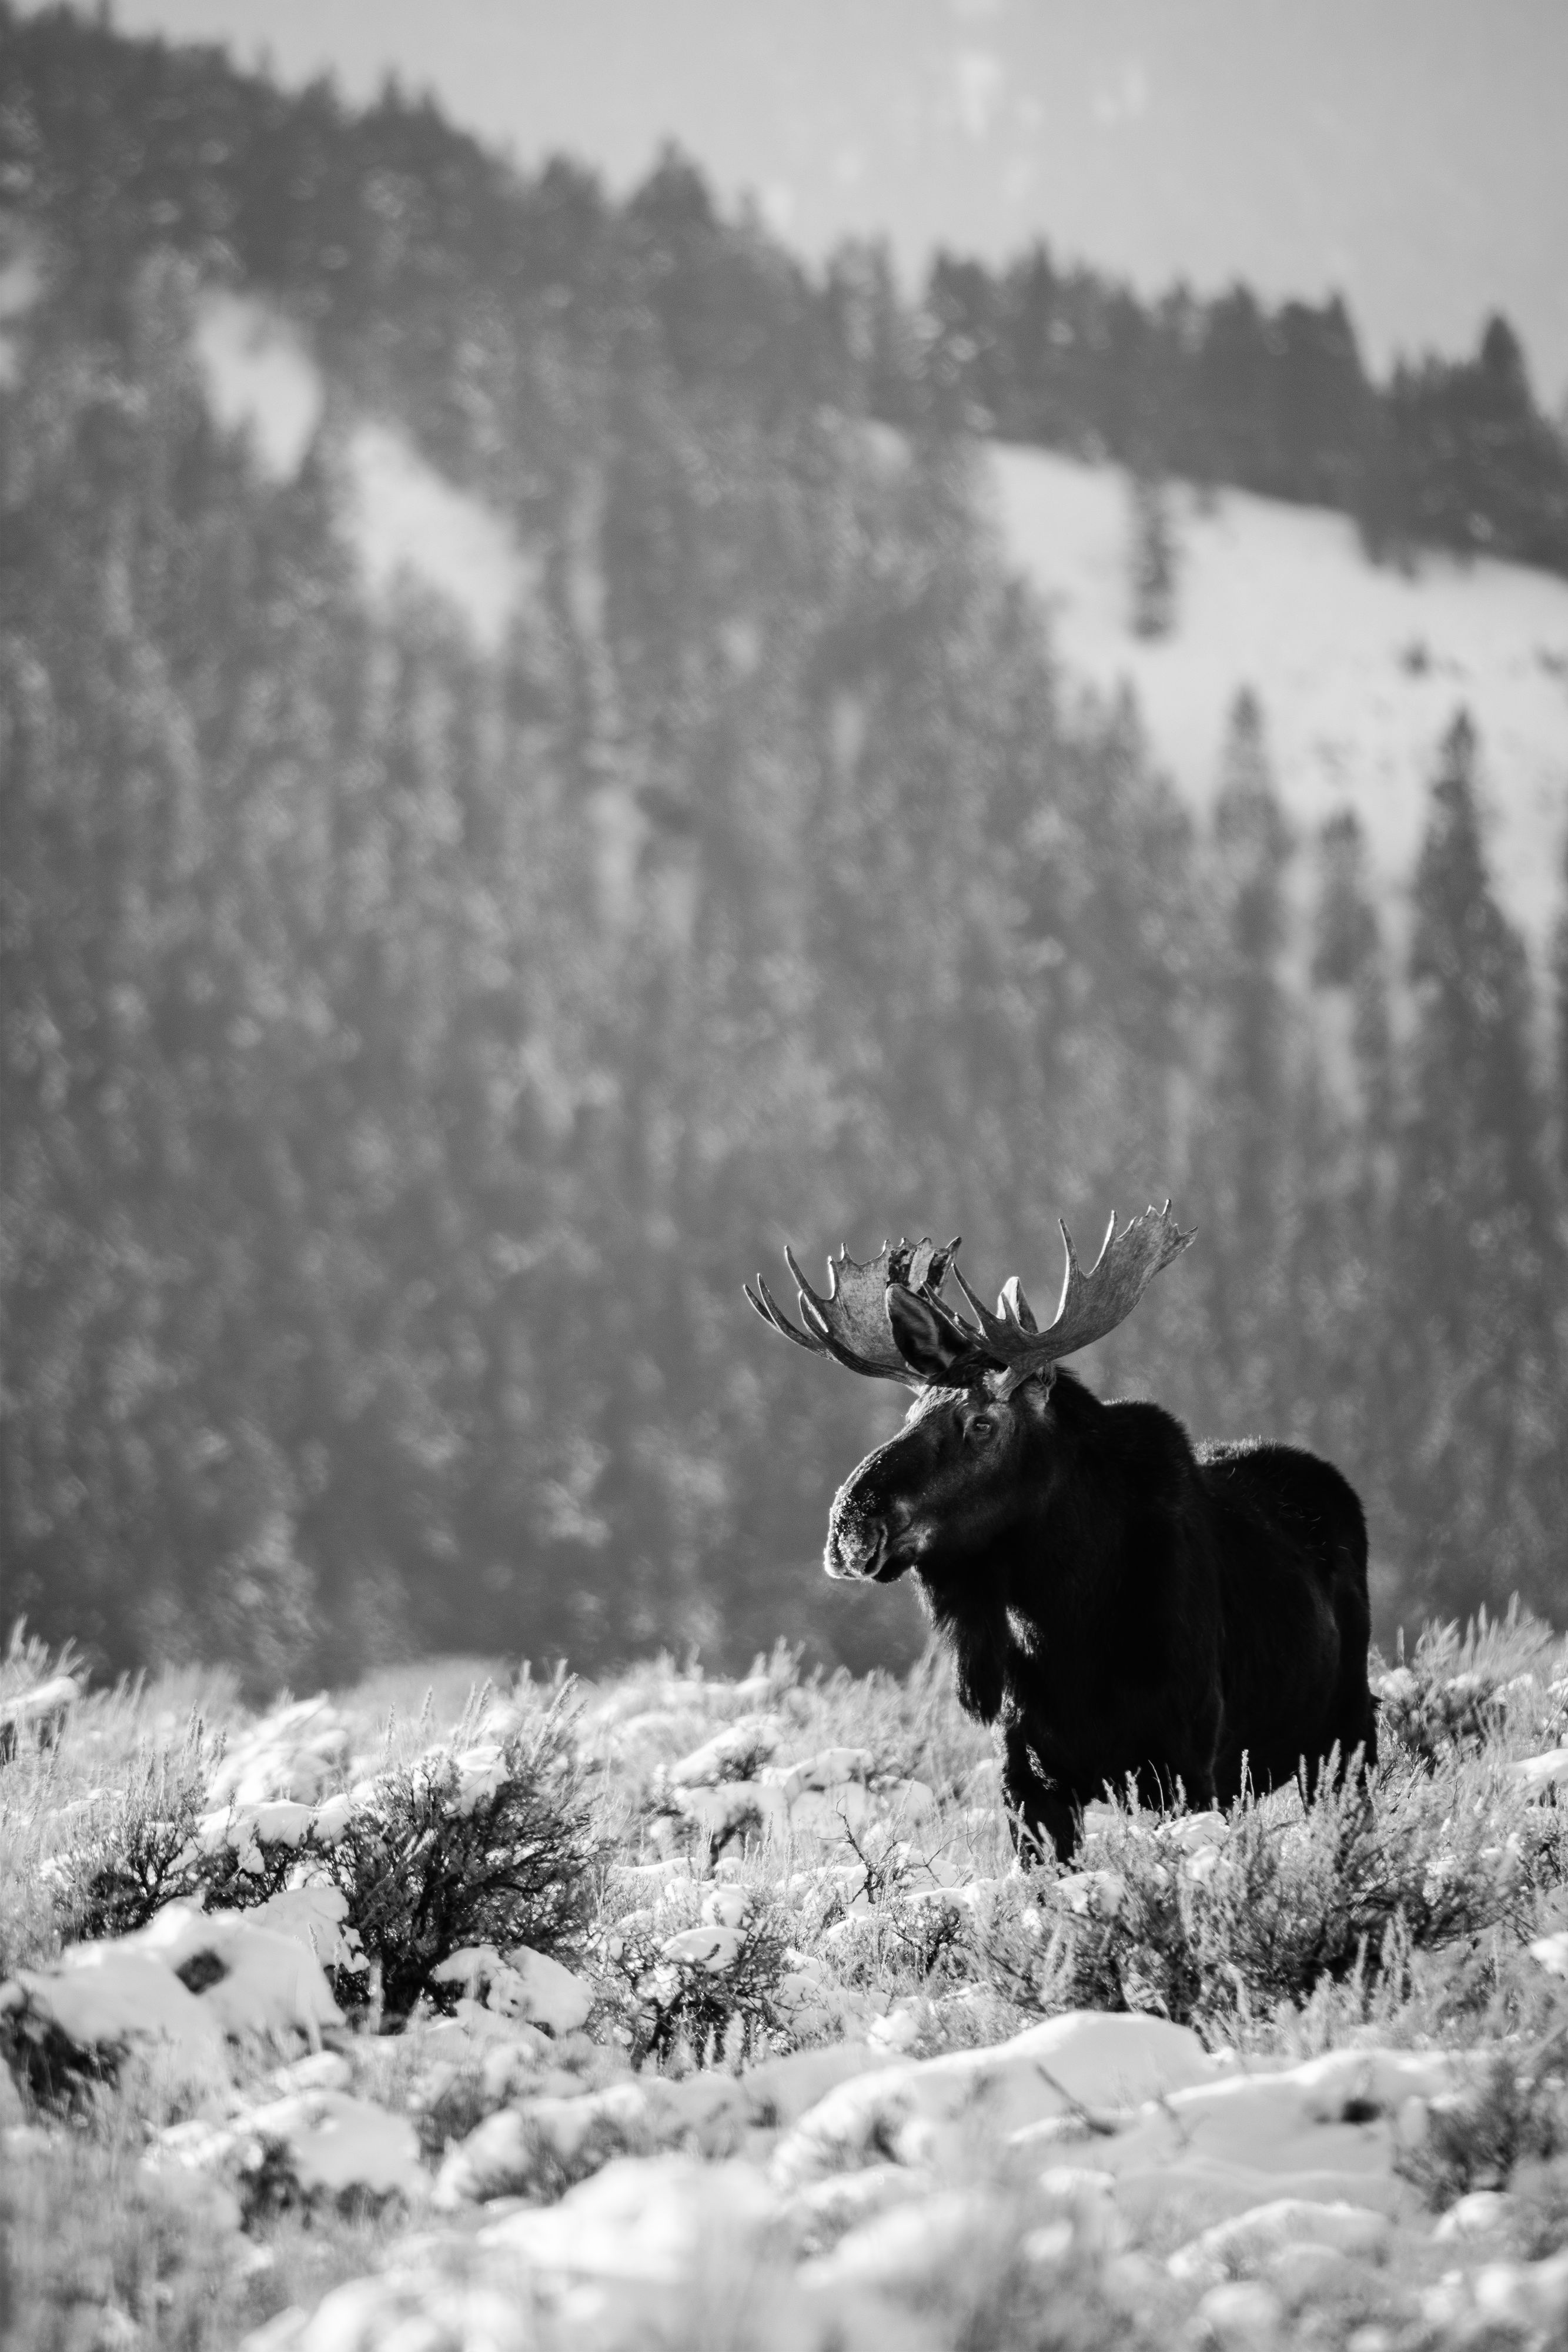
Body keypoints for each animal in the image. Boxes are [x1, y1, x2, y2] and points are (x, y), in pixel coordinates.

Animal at [747, 1205, 1376, 1862]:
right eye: (911, 1413)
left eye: (981, 1422)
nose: (849, 1525)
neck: (1067, 1621)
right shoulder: (1028, 1777)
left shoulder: (1189, 1763)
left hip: (1346, 1737)